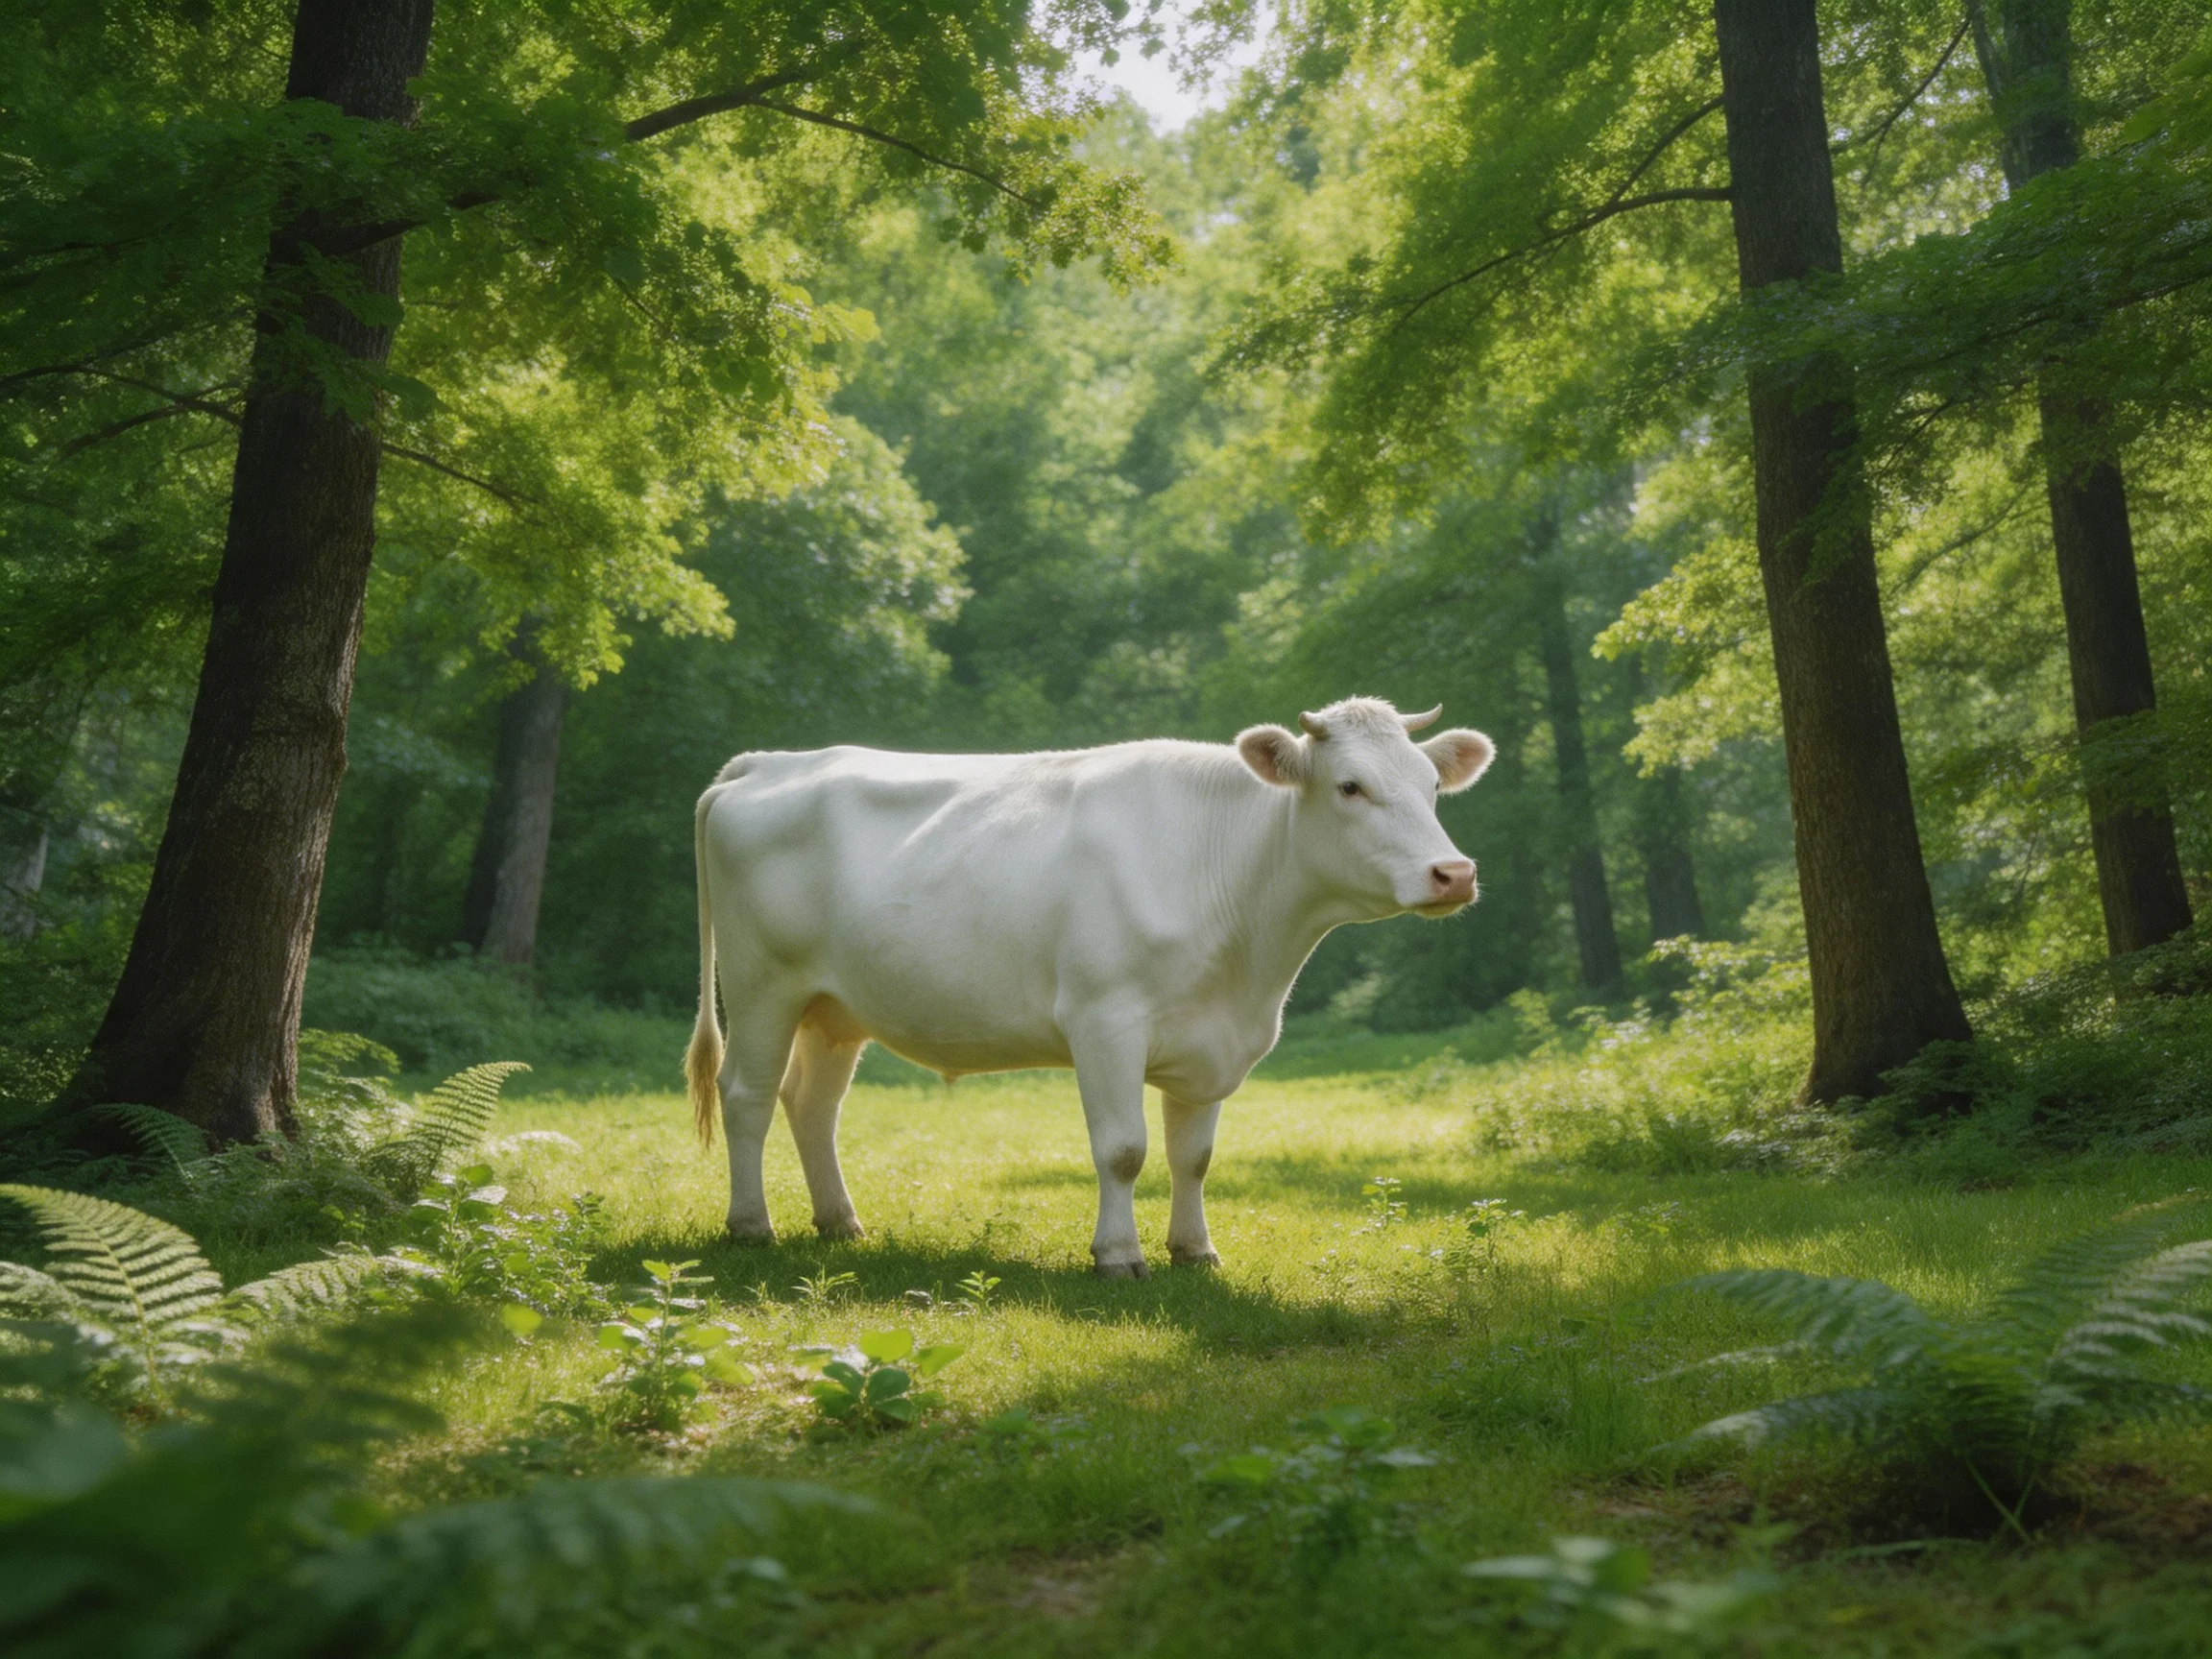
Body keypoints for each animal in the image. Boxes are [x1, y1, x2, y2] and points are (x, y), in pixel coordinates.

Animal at [685, 696, 1494, 1277]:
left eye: (1431, 786)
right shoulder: (1106, 1021)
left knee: (812, 1105)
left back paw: (841, 1223)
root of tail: (766, 764)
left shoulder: (1212, 1039)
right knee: (748, 1096)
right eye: (1350, 786)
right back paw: (752, 1226)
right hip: (761, 985)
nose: (1454, 873)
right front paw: (1119, 1255)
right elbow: (1124, 1149)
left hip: (833, 1007)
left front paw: (1194, 1251)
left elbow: (1193, 1157)